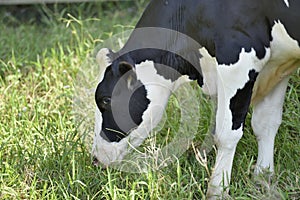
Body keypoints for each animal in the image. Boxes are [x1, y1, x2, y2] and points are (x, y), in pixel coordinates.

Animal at [92, 0, 300, 198]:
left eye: (105, 100)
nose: (94, 158)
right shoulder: (278, 64)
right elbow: (265, 123)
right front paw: (263, 179)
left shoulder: (238, 60)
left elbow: (226, 134)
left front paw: (218, 190)